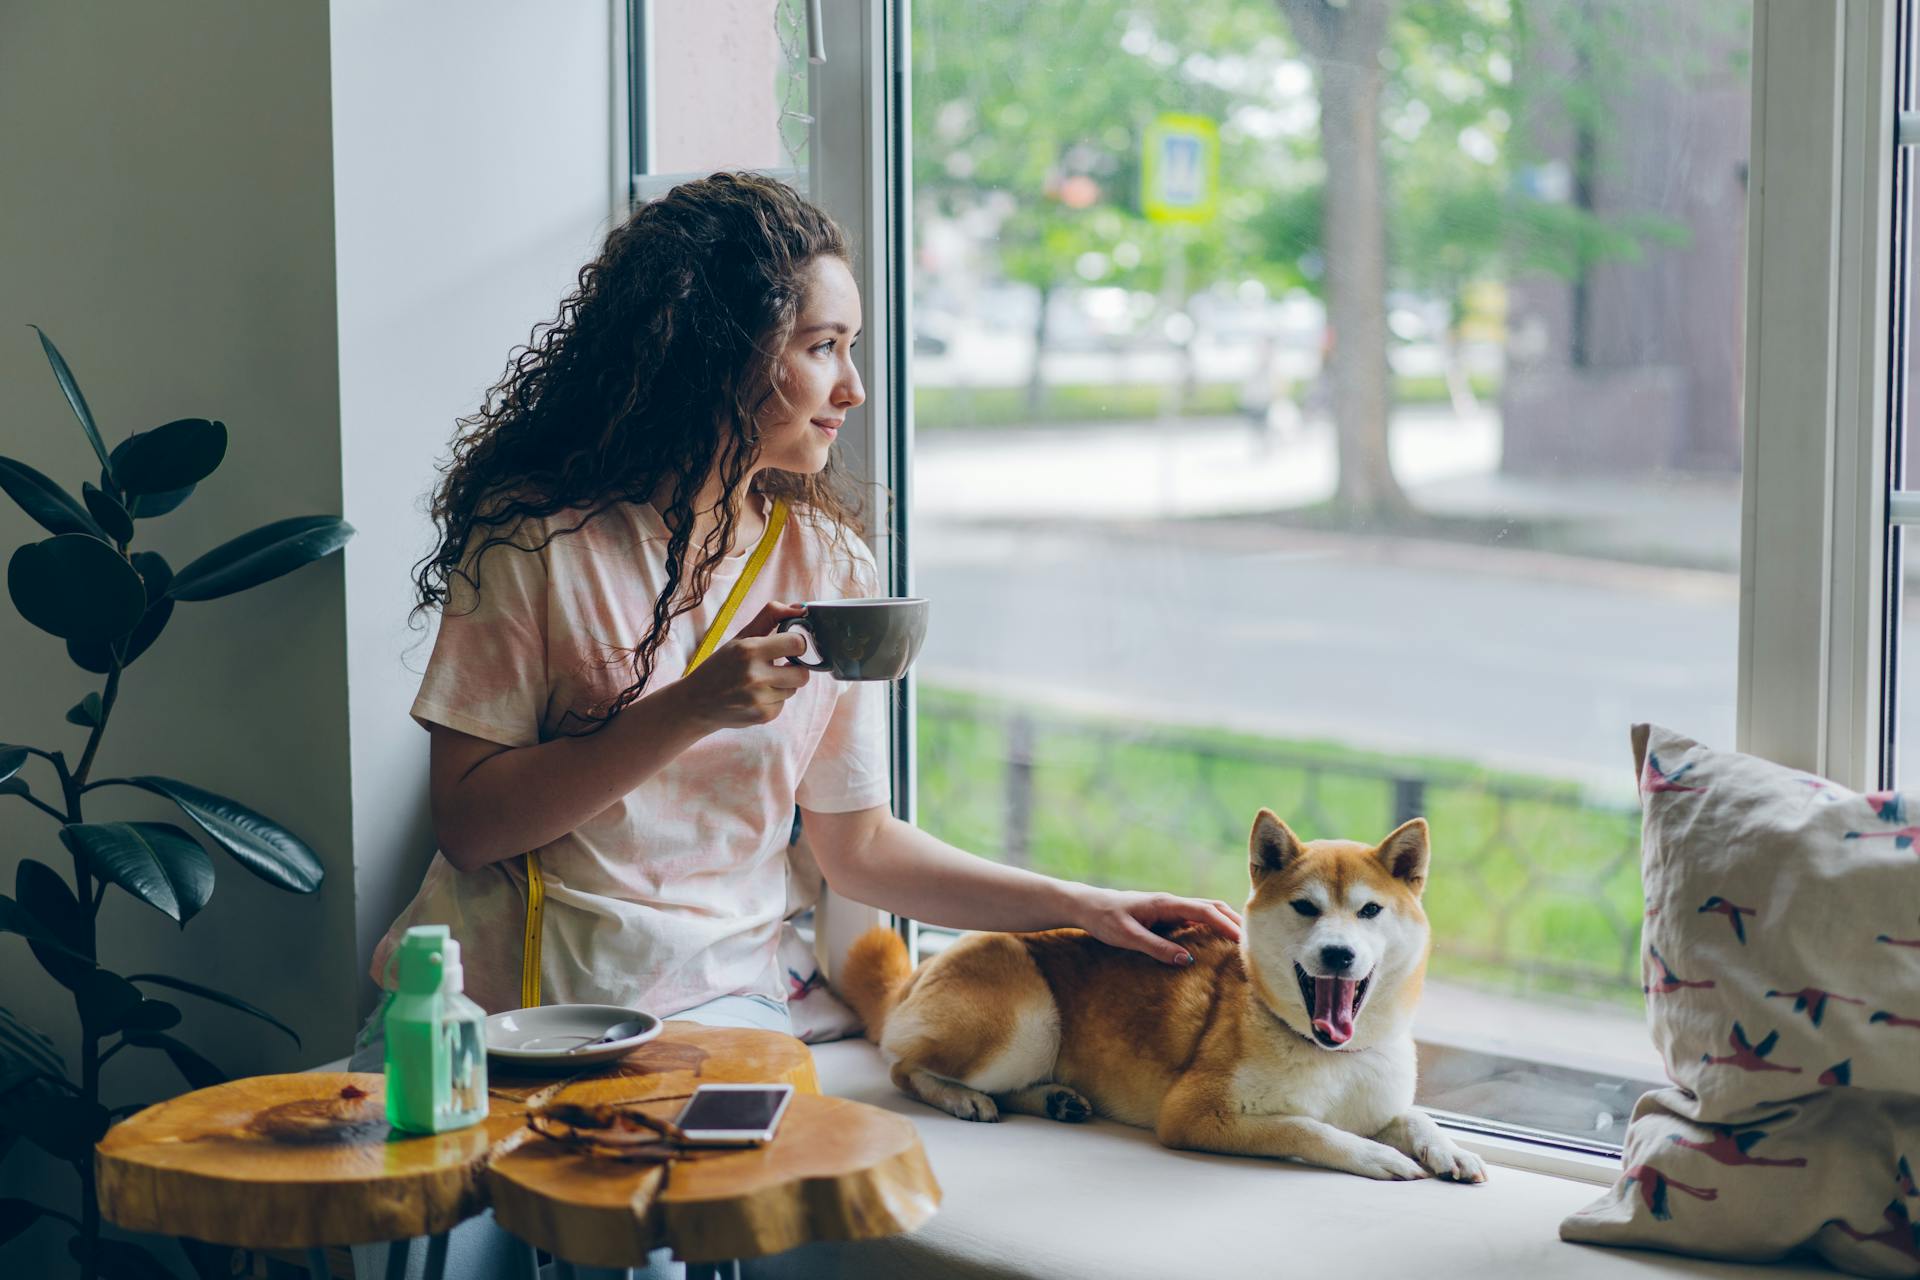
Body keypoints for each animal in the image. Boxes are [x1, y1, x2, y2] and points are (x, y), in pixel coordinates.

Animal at [840, 809, 1482, 1182]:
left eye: (1369, 910)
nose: (1338, 955)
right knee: (904, 1067)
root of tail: (919, 972)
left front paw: (1448, 1149)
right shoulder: (1195, 1114)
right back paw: (961, 1097)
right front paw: (1376, 1155)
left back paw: (1056, 1099)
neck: (1329, 1055)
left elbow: (1412, 1115)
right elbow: (1306, 1128)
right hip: (1026, 1026)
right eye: (1306, 907)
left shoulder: (1377, 1100)